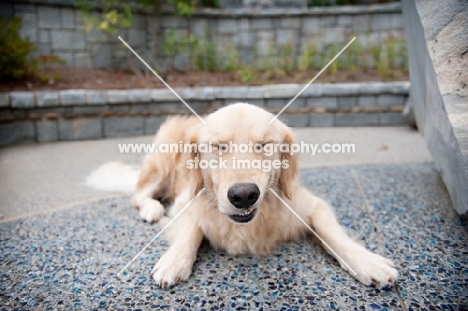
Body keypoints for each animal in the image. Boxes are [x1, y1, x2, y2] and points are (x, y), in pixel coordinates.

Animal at [86, 103, 396, 288]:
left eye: (263, 145)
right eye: (219, 147)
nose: (244, 195)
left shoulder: (310, 204)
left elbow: (332, 233)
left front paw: (366, 261)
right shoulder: (185, 203)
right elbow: (191, 230)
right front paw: (175, 260)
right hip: (160, 166)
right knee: (138, 195)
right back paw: (152, 209)